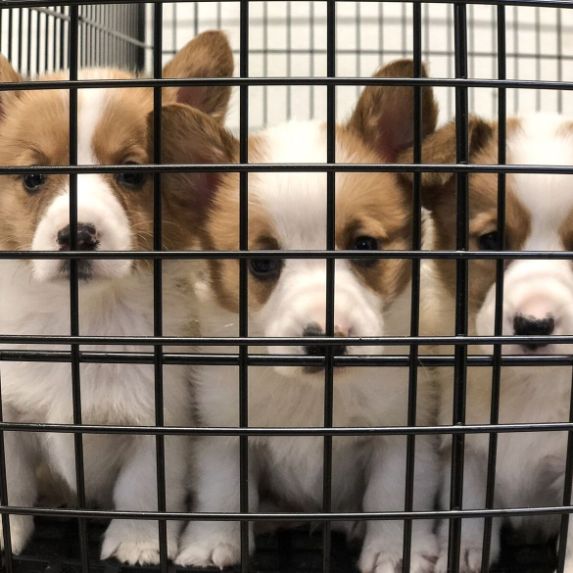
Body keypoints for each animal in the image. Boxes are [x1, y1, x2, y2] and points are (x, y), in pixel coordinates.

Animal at [0, 31, 233, 564]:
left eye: (131, 175)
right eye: (33, 178)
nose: (78, 235)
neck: (85, 317)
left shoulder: (162, 423)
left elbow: (142, 490)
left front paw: (136, 543)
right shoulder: (8, 419)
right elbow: (13, 485)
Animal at [159, 60, 440, 568]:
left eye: (364, 246)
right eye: (262, 263)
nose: (326, 338)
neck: (312, 397)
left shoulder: (403, 436)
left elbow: (392, 497)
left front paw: (394, 549)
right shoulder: (223, 435)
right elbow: (223, 493)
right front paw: (210, 542)